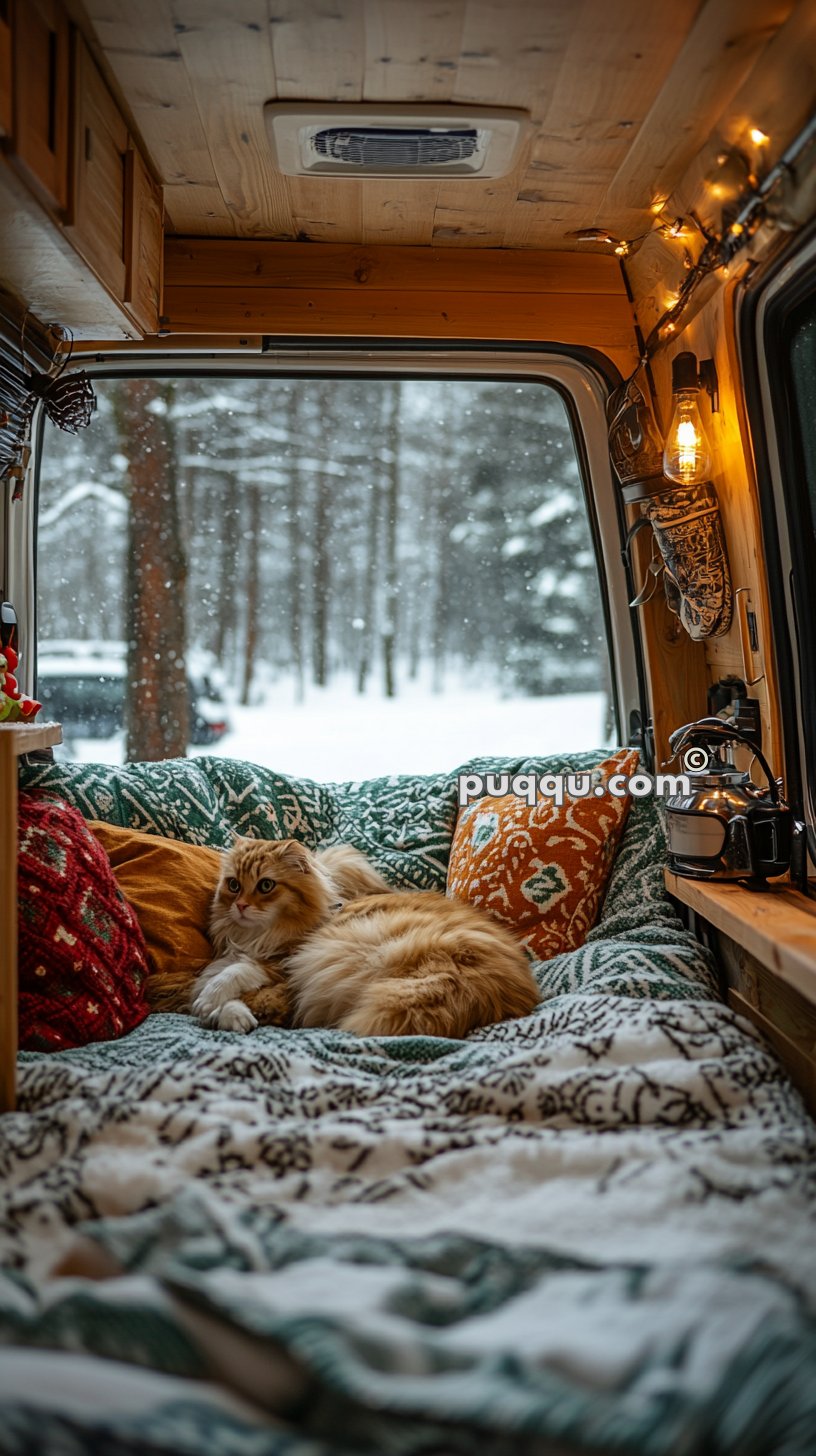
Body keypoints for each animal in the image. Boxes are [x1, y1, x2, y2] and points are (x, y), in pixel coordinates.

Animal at [189, 838, 536, 1042]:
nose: (240, 906)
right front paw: (228, 1014)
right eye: (233, 885)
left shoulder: (284, 963)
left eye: (265, 886)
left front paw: (214, 1002)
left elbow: (234, 976)